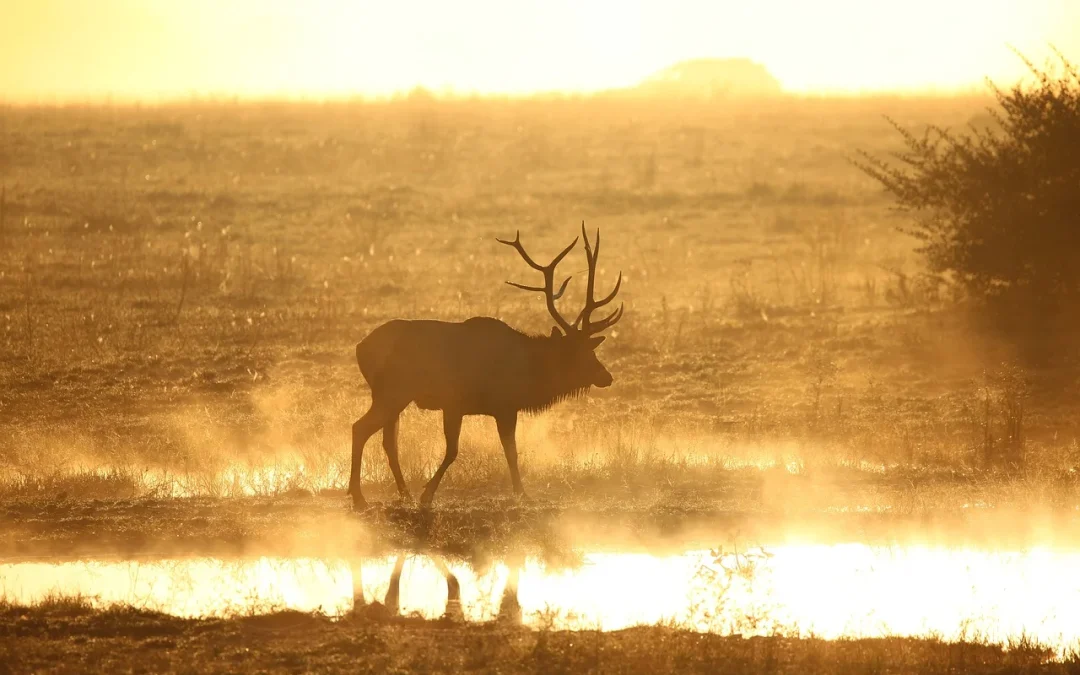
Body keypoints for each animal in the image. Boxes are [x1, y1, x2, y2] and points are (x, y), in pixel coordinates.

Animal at [349, 223, 622, 507]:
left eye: (592, 349)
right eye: (579, 353)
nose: (607, 376)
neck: (527, 373)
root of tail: (360, 348)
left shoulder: (483, 407)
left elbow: (496, 450)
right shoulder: (484, 404)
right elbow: (478, 451)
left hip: (394, 397)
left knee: (388, 441)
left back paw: (403, 493)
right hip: (391, 392)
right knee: (360, 428)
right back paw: (359, 496)